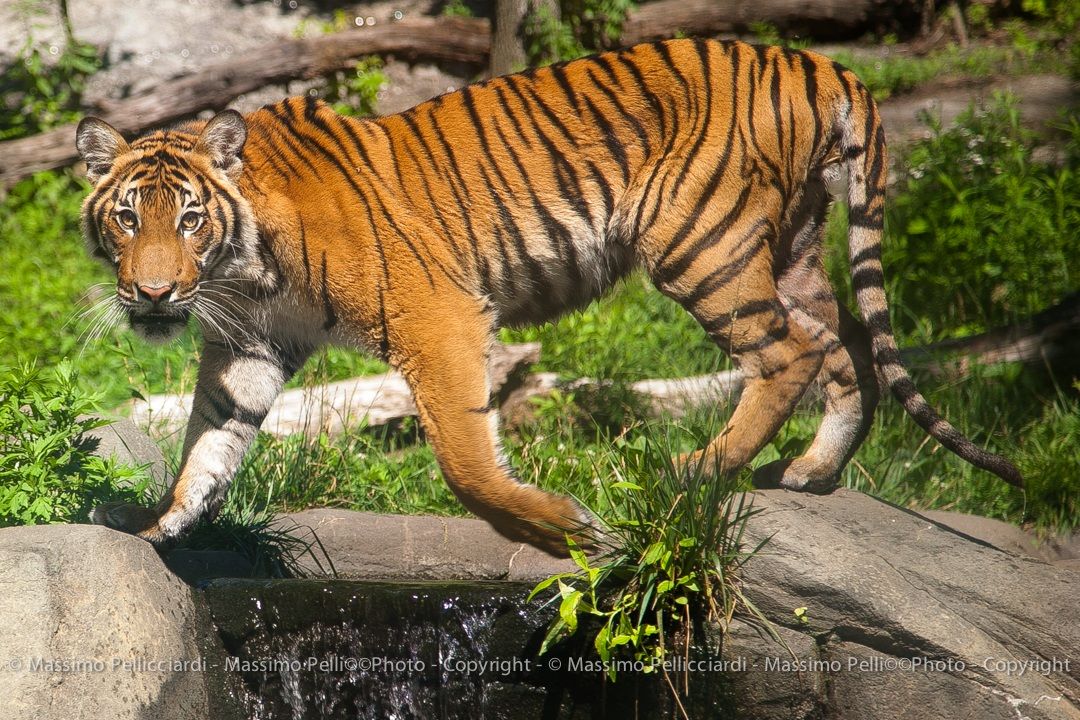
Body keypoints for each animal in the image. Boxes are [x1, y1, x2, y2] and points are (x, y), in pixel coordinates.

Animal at [76, 38, 1022, 556]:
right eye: (127, 218)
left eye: (189, 218)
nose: (153, 293)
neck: (241, 271)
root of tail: (816, 60)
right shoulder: (253, 348)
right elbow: (209, 446)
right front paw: (159, 528)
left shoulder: (439, 316)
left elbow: (465, 460)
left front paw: (568, 532)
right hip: (789, 247)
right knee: (844, 347)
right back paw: (811, 472)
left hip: (701, 245)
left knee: (787, 356)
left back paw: (694, 470)